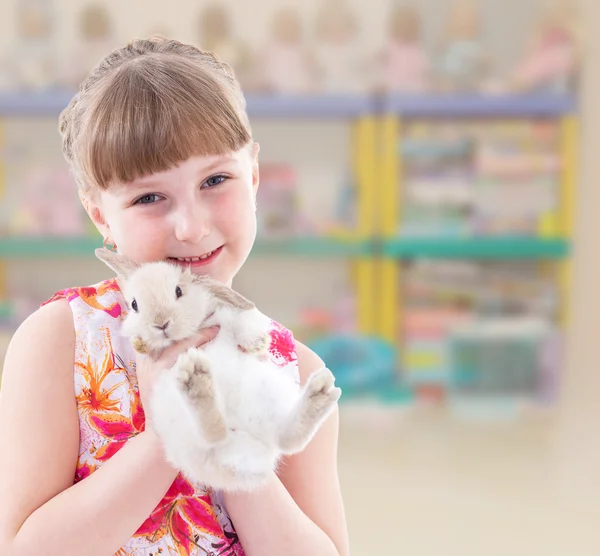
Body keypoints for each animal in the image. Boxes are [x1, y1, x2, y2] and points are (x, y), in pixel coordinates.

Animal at [95, 249, 342, 490]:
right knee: (214, 434)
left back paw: (318, 395)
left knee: (284, 438)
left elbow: (244, 320)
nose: (161, 323)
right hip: (177, 419)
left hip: (269, 394)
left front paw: (257, 343)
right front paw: (142, 342)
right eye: (134, 305)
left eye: (178, 291)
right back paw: (198, 382)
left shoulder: (225, 314)